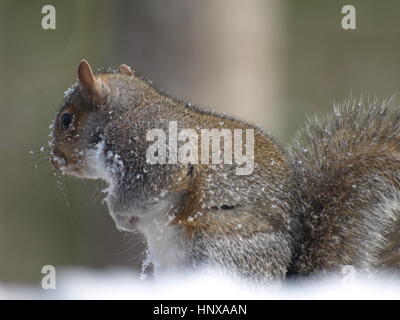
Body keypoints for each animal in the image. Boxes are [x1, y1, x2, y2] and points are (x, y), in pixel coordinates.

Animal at [50, 59, 400, 282]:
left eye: (66, 120)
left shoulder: (153, 152)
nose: (54, 158)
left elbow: (144, 191)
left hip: (219, 252)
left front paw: (121, 216)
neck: (128, 111)